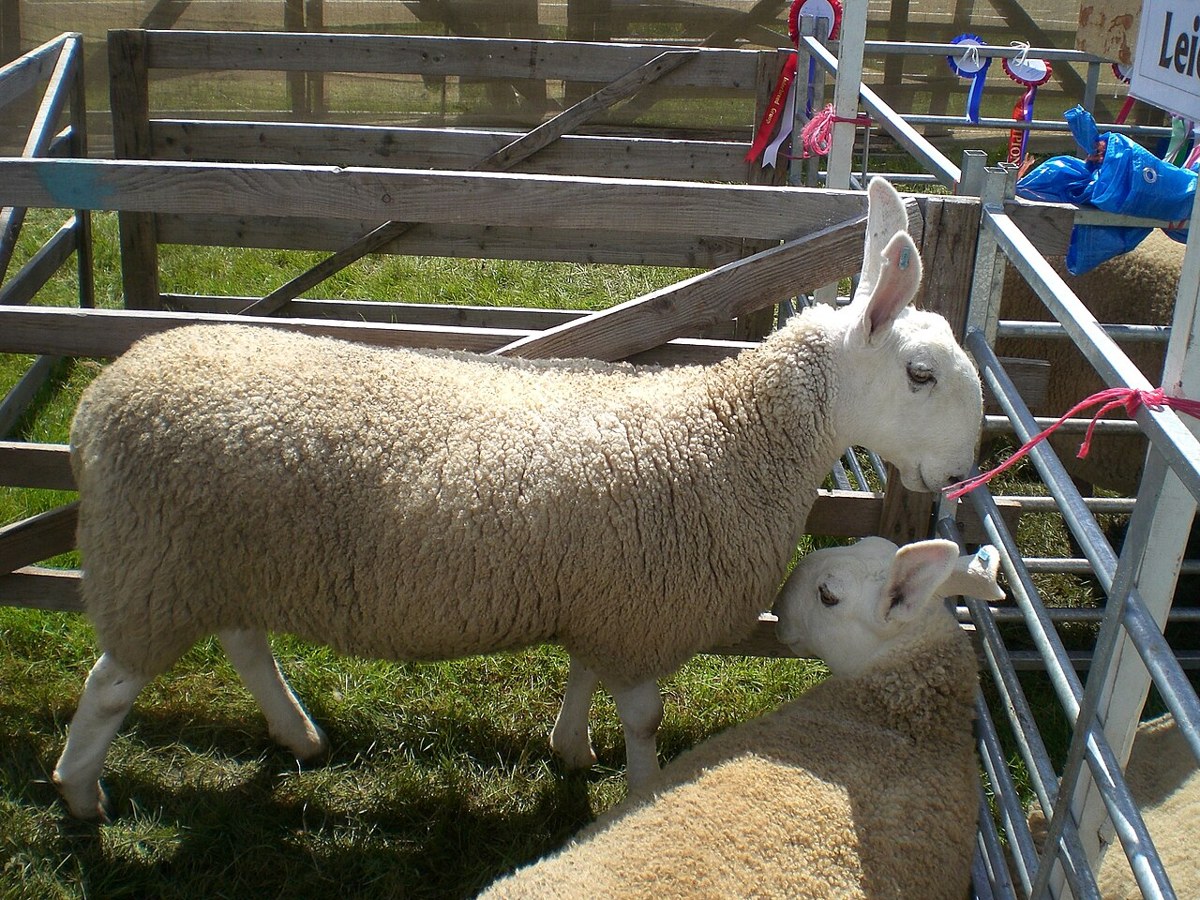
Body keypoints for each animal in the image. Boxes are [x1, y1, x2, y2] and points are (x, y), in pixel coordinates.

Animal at [51, 177, 985, 820]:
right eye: (920, 375)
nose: (960, 470)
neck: (729, 431)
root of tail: (99, 403)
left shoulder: (604, 595)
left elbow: (580, 674)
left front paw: (570, 748)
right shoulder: (641, 608)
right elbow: (645, 720)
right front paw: (638, 793)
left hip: (225, 557)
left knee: (244, 645)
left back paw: (298, 735)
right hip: (155, 565)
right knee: (110, 686)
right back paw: (80, 794)